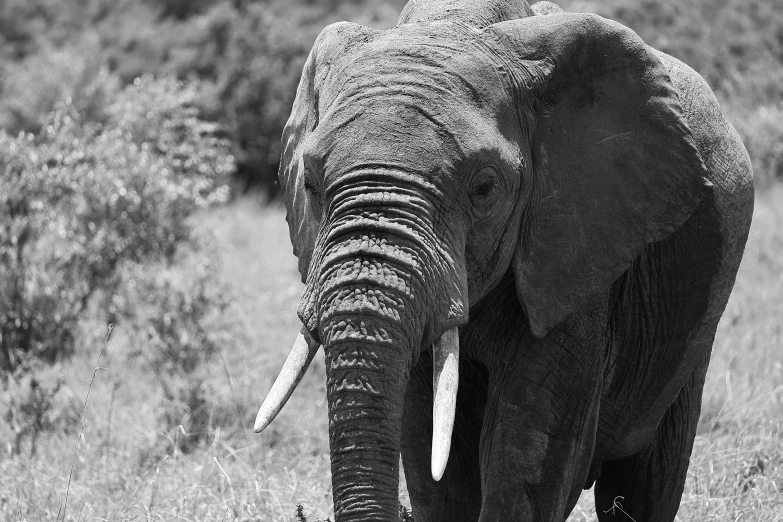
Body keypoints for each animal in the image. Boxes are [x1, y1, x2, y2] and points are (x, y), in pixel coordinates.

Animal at [253, 1, 752, 520]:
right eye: (310, 183)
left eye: (484, 188)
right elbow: (430, 450)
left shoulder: (579, 249)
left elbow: (529, 443)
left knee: (648, 478)